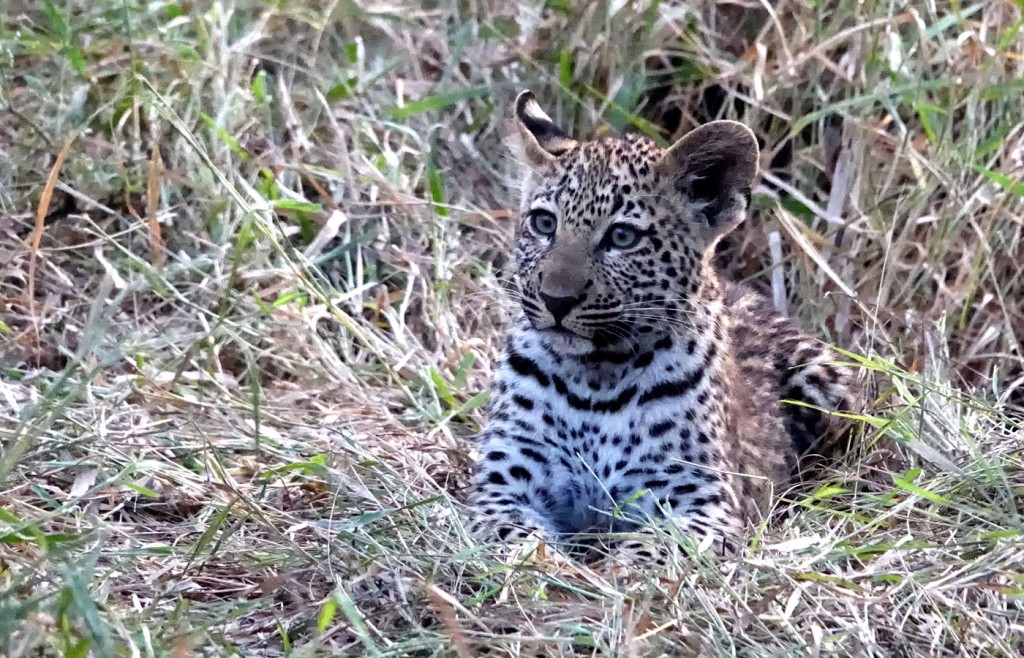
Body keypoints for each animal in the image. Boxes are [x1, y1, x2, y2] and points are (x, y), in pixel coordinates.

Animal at [468, 91, 851, 564]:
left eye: (622, 237)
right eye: (544, 224)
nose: (555, 300)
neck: (595, 380)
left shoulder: (702, 500)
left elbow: (655, 548)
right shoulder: (503, 486)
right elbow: (519, 537)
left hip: (825, 380)